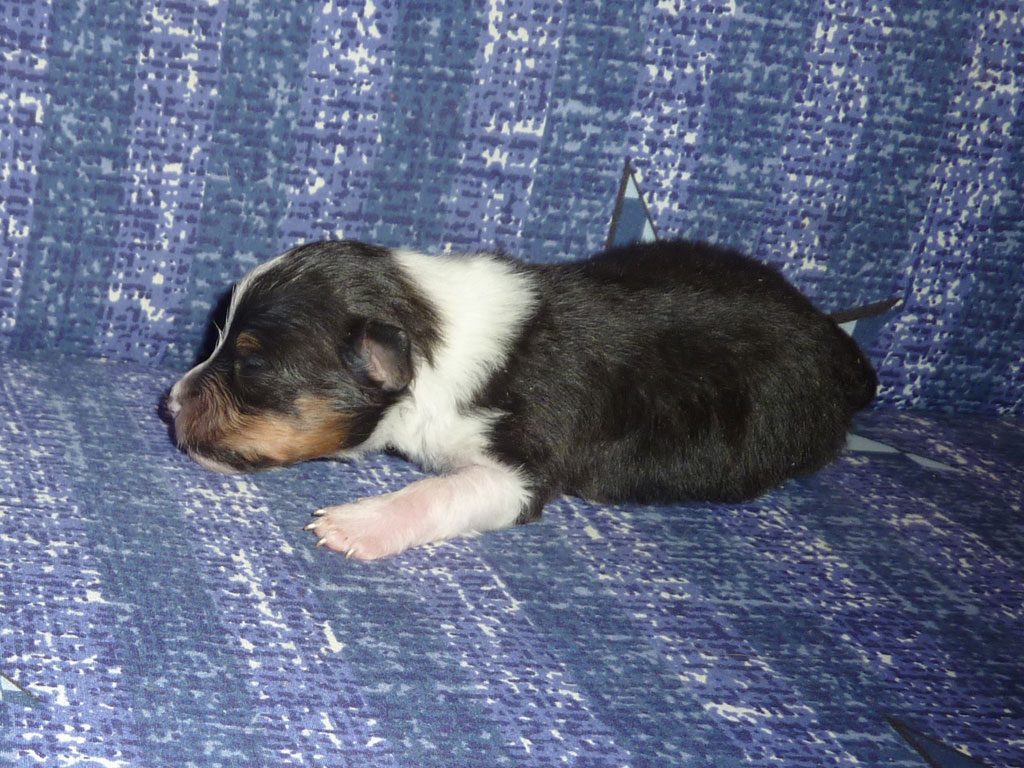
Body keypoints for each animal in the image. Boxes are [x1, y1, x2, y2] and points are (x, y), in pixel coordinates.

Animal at [167, 239, 877, 559]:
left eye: (252, 363)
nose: (169, 402)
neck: (429, 332)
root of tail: (840, 347)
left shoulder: (522, 469)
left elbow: (441, 491)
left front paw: (358, 524)